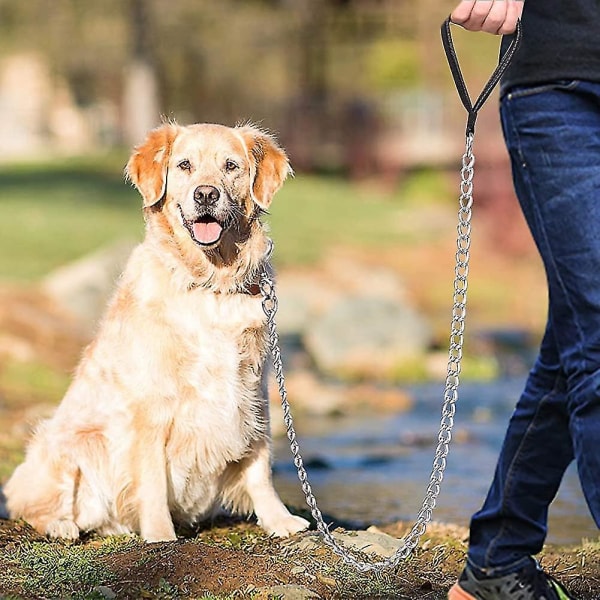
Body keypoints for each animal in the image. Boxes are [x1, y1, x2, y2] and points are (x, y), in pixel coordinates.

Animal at [5, 123, 310, 544]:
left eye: (230, 166)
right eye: (184, 165)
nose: (206, 194)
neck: (210, 283)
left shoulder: (253, 391)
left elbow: (259, 466)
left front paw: (280, 520)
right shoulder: (150, 406)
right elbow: (150, 480)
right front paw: (160, 534)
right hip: (69, 441)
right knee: (30, 504)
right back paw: (61, 525)